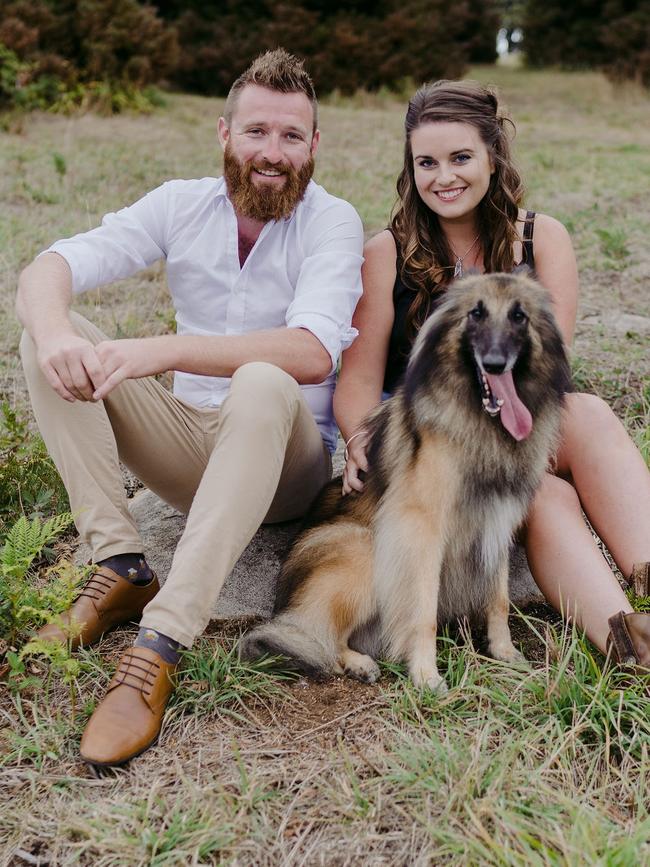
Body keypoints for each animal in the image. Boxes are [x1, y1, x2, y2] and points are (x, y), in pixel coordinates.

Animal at [237, 274, 568, 696]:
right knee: (317, 637)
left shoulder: (497, 521)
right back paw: (358, 663)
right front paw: (426, 674)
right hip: (365, 548)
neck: (482, 422)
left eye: (519, 316)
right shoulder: (421, 530)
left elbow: (499, 598)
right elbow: (422, 610)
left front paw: (504, 652)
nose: (495, 363)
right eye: (475, 313)